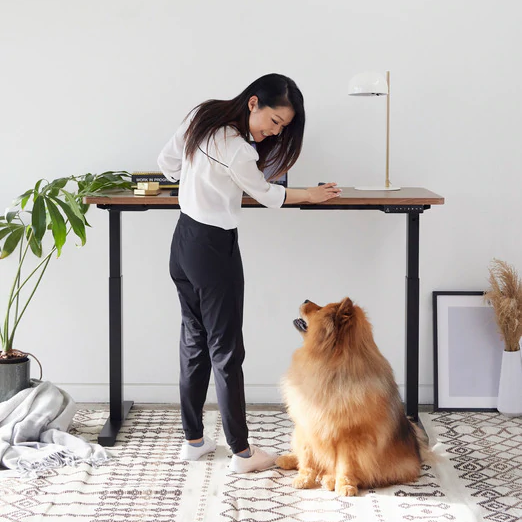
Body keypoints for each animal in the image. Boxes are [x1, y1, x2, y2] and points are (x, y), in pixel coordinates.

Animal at [274, 296, 428, 496]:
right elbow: (307, 458)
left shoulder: (350, 437)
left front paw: (345, 486)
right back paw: (287, 459)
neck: (327, 367)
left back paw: (330, 480)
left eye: (319, 309)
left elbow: (346, 465)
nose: (306, 299)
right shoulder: (307, 423)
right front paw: (304, 478)